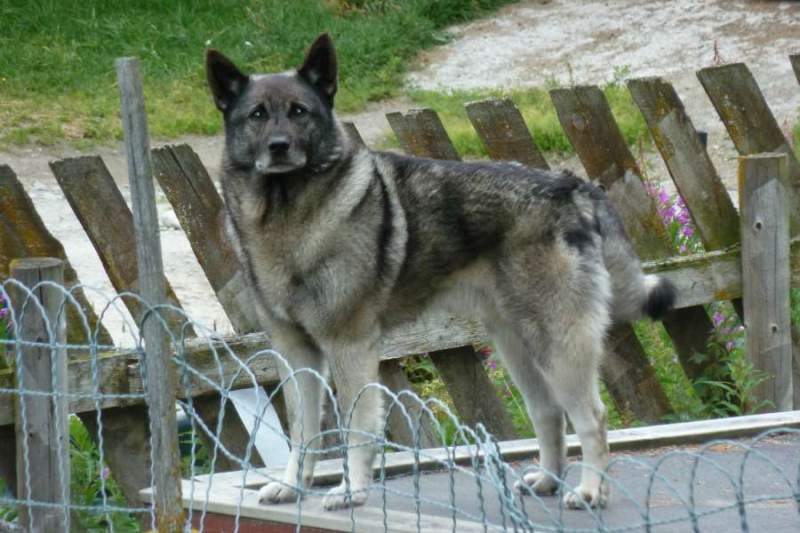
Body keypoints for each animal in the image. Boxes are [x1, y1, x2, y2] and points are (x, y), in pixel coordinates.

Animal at [206, 33, 676, 512]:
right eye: (257, 115)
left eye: (299, 111)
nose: (279, 146)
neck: (288, 215)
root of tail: (572, 186)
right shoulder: (296, 354)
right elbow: (304, 433)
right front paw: (292, 486)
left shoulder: (348, 347)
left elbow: (357, 426)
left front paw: (352, 490)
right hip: (517, 347)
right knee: (548, 413)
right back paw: (546, 480)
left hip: (558, 346)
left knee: (592, 418)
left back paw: (589, 491)